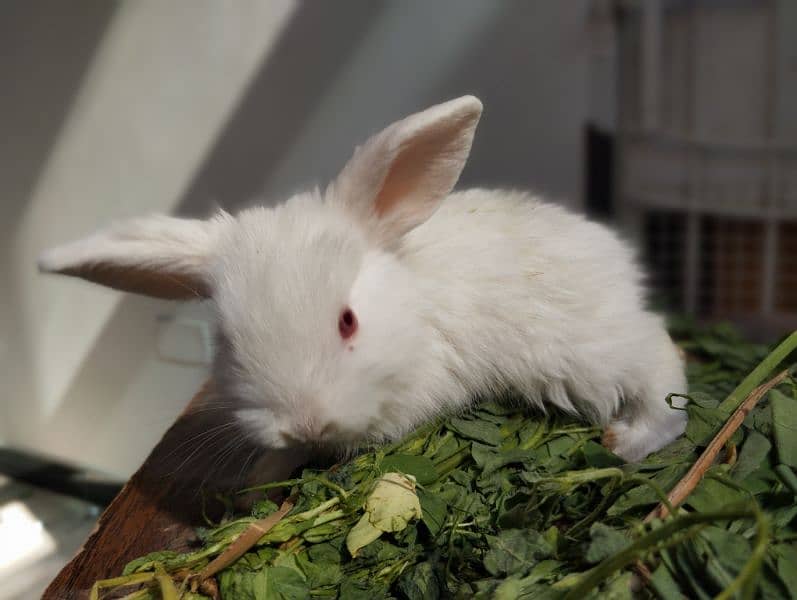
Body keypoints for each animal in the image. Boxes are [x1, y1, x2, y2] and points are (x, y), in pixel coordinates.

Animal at [37, 95, 684, 460]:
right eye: (227, 344)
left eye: (348, 322)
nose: (304, 426)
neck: (411, 307)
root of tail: (618, 262)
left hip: (589, 350)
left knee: (661, 360)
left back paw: (629, 442)